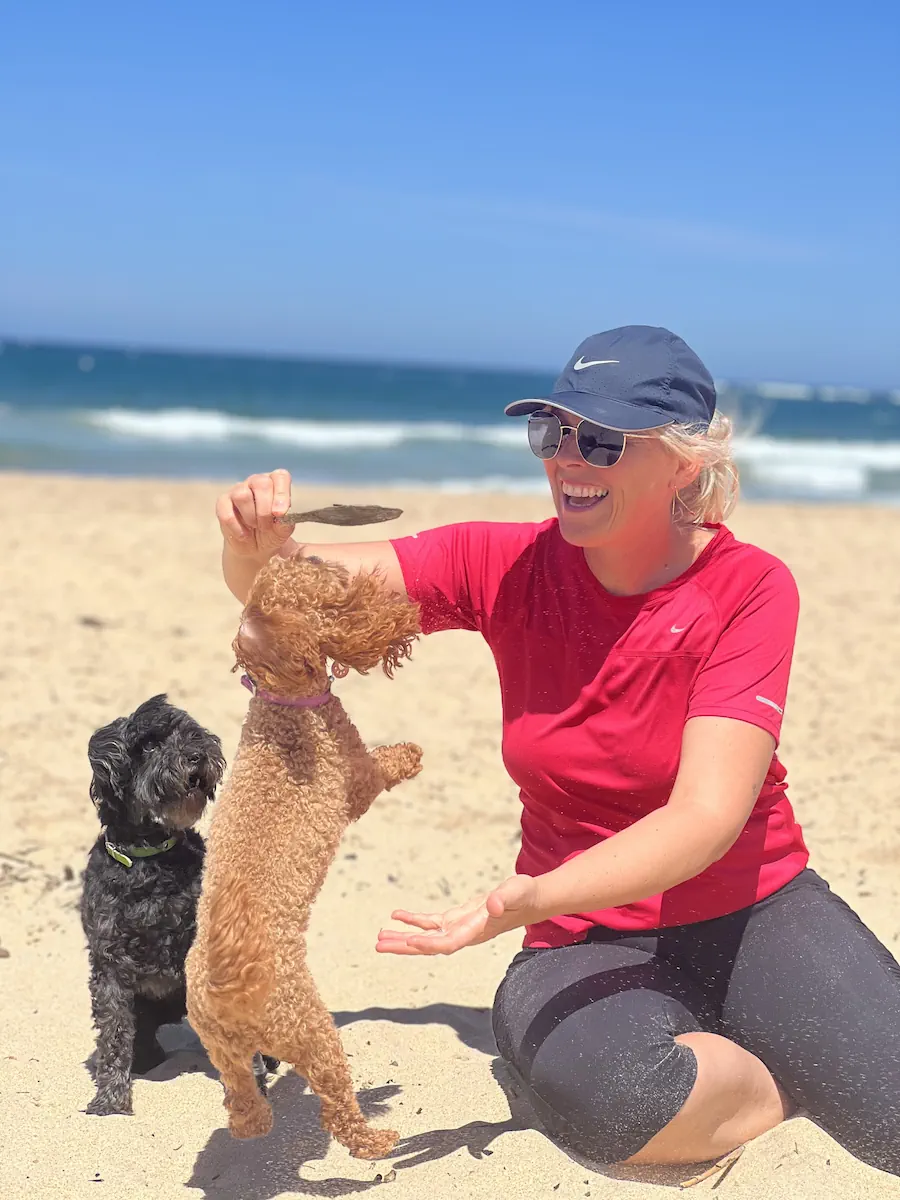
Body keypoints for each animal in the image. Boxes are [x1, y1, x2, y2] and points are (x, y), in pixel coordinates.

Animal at [81, 696, 278, 1113]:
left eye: (187, 732)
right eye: (148, 746)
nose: (197, 755)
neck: (151, 860)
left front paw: (251, 1092)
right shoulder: (109, 963)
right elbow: (113, 1032)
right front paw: (110, 1098)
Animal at [186, 554, 422, 1161]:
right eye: (330, 597)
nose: (309, 552)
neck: (284, 706)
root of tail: (224, 989)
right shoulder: (355, 781)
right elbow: (383, 765)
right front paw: (409, 754)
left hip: (223, 1052)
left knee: (242, 1103)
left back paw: (255, 1122)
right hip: (312, 1030)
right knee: (338, 1107)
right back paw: (377, 1139)